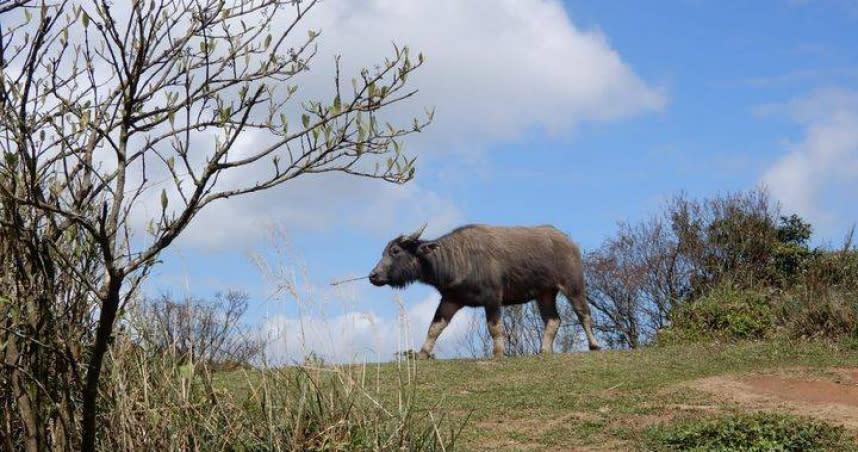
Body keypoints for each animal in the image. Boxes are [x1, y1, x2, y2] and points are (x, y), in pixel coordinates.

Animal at [364, 224, 600, 358]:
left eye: (395, 251)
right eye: (384, 251)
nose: (373, 275)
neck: (458, 259)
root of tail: (568, 242)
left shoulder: (493, 298)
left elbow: (494, 327)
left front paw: (498, 353)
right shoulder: (450, 300)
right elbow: (434, 327)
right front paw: (423, 353)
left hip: (573, 285)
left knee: (584, 313)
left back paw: (594, 345)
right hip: (544, 294)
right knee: (553, 320)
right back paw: (544, 350)